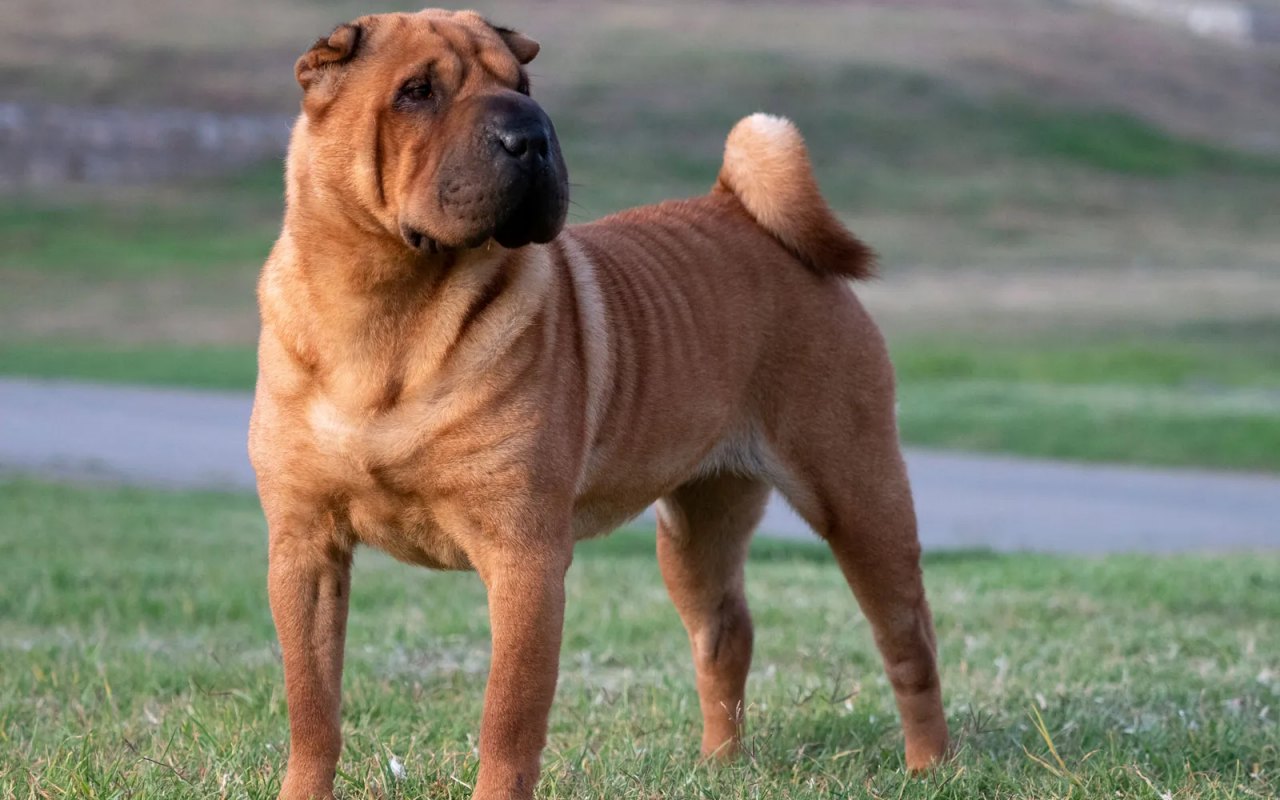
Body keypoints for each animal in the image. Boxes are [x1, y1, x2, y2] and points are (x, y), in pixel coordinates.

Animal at [252, 7, 952, 798]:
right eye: (417, 92)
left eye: (521, 85)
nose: (531, 133)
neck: (385, 314)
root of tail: (743, 211)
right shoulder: (305, 547)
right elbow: (312, 705)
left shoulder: (524, 557)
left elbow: (508, 719)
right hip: (696, 528)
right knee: (725, 632)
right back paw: (719, 764)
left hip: (858, 497)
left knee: (909, 641)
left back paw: (930, 765)